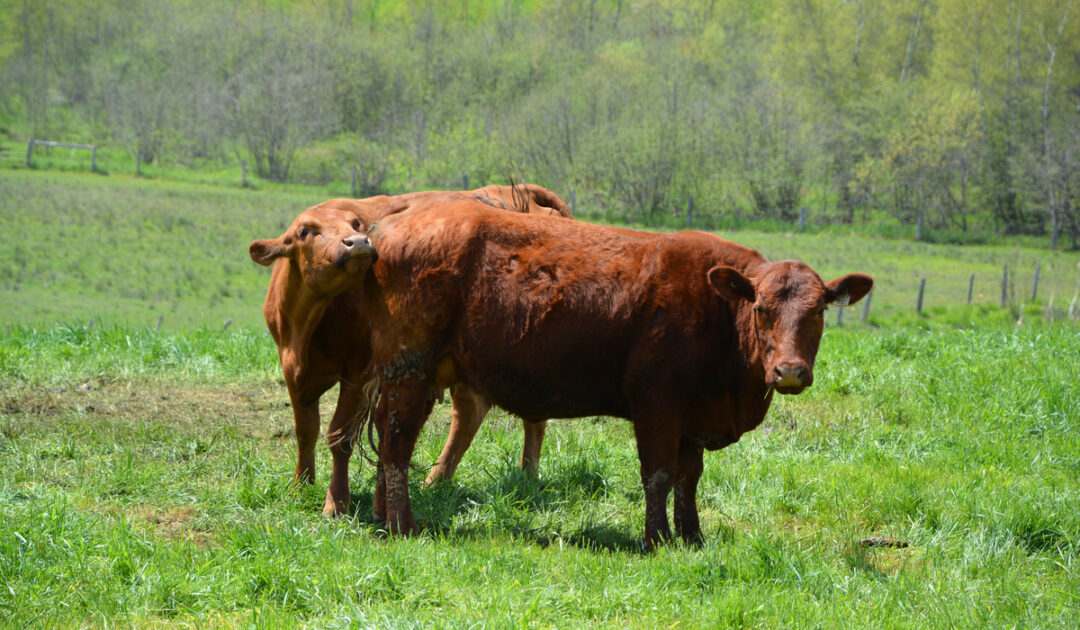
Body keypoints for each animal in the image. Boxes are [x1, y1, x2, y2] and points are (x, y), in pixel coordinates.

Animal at [250, 185, 571, 517]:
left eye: (356, 224)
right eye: (305, 231)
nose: (358, 243)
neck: (307, 326)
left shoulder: (359, 373)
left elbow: (340, 436)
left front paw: (336, 502)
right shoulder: (292, 371)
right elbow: (306, 431)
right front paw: (300, 486)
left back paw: (526, 476)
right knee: (470, 413)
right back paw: (438, 481)